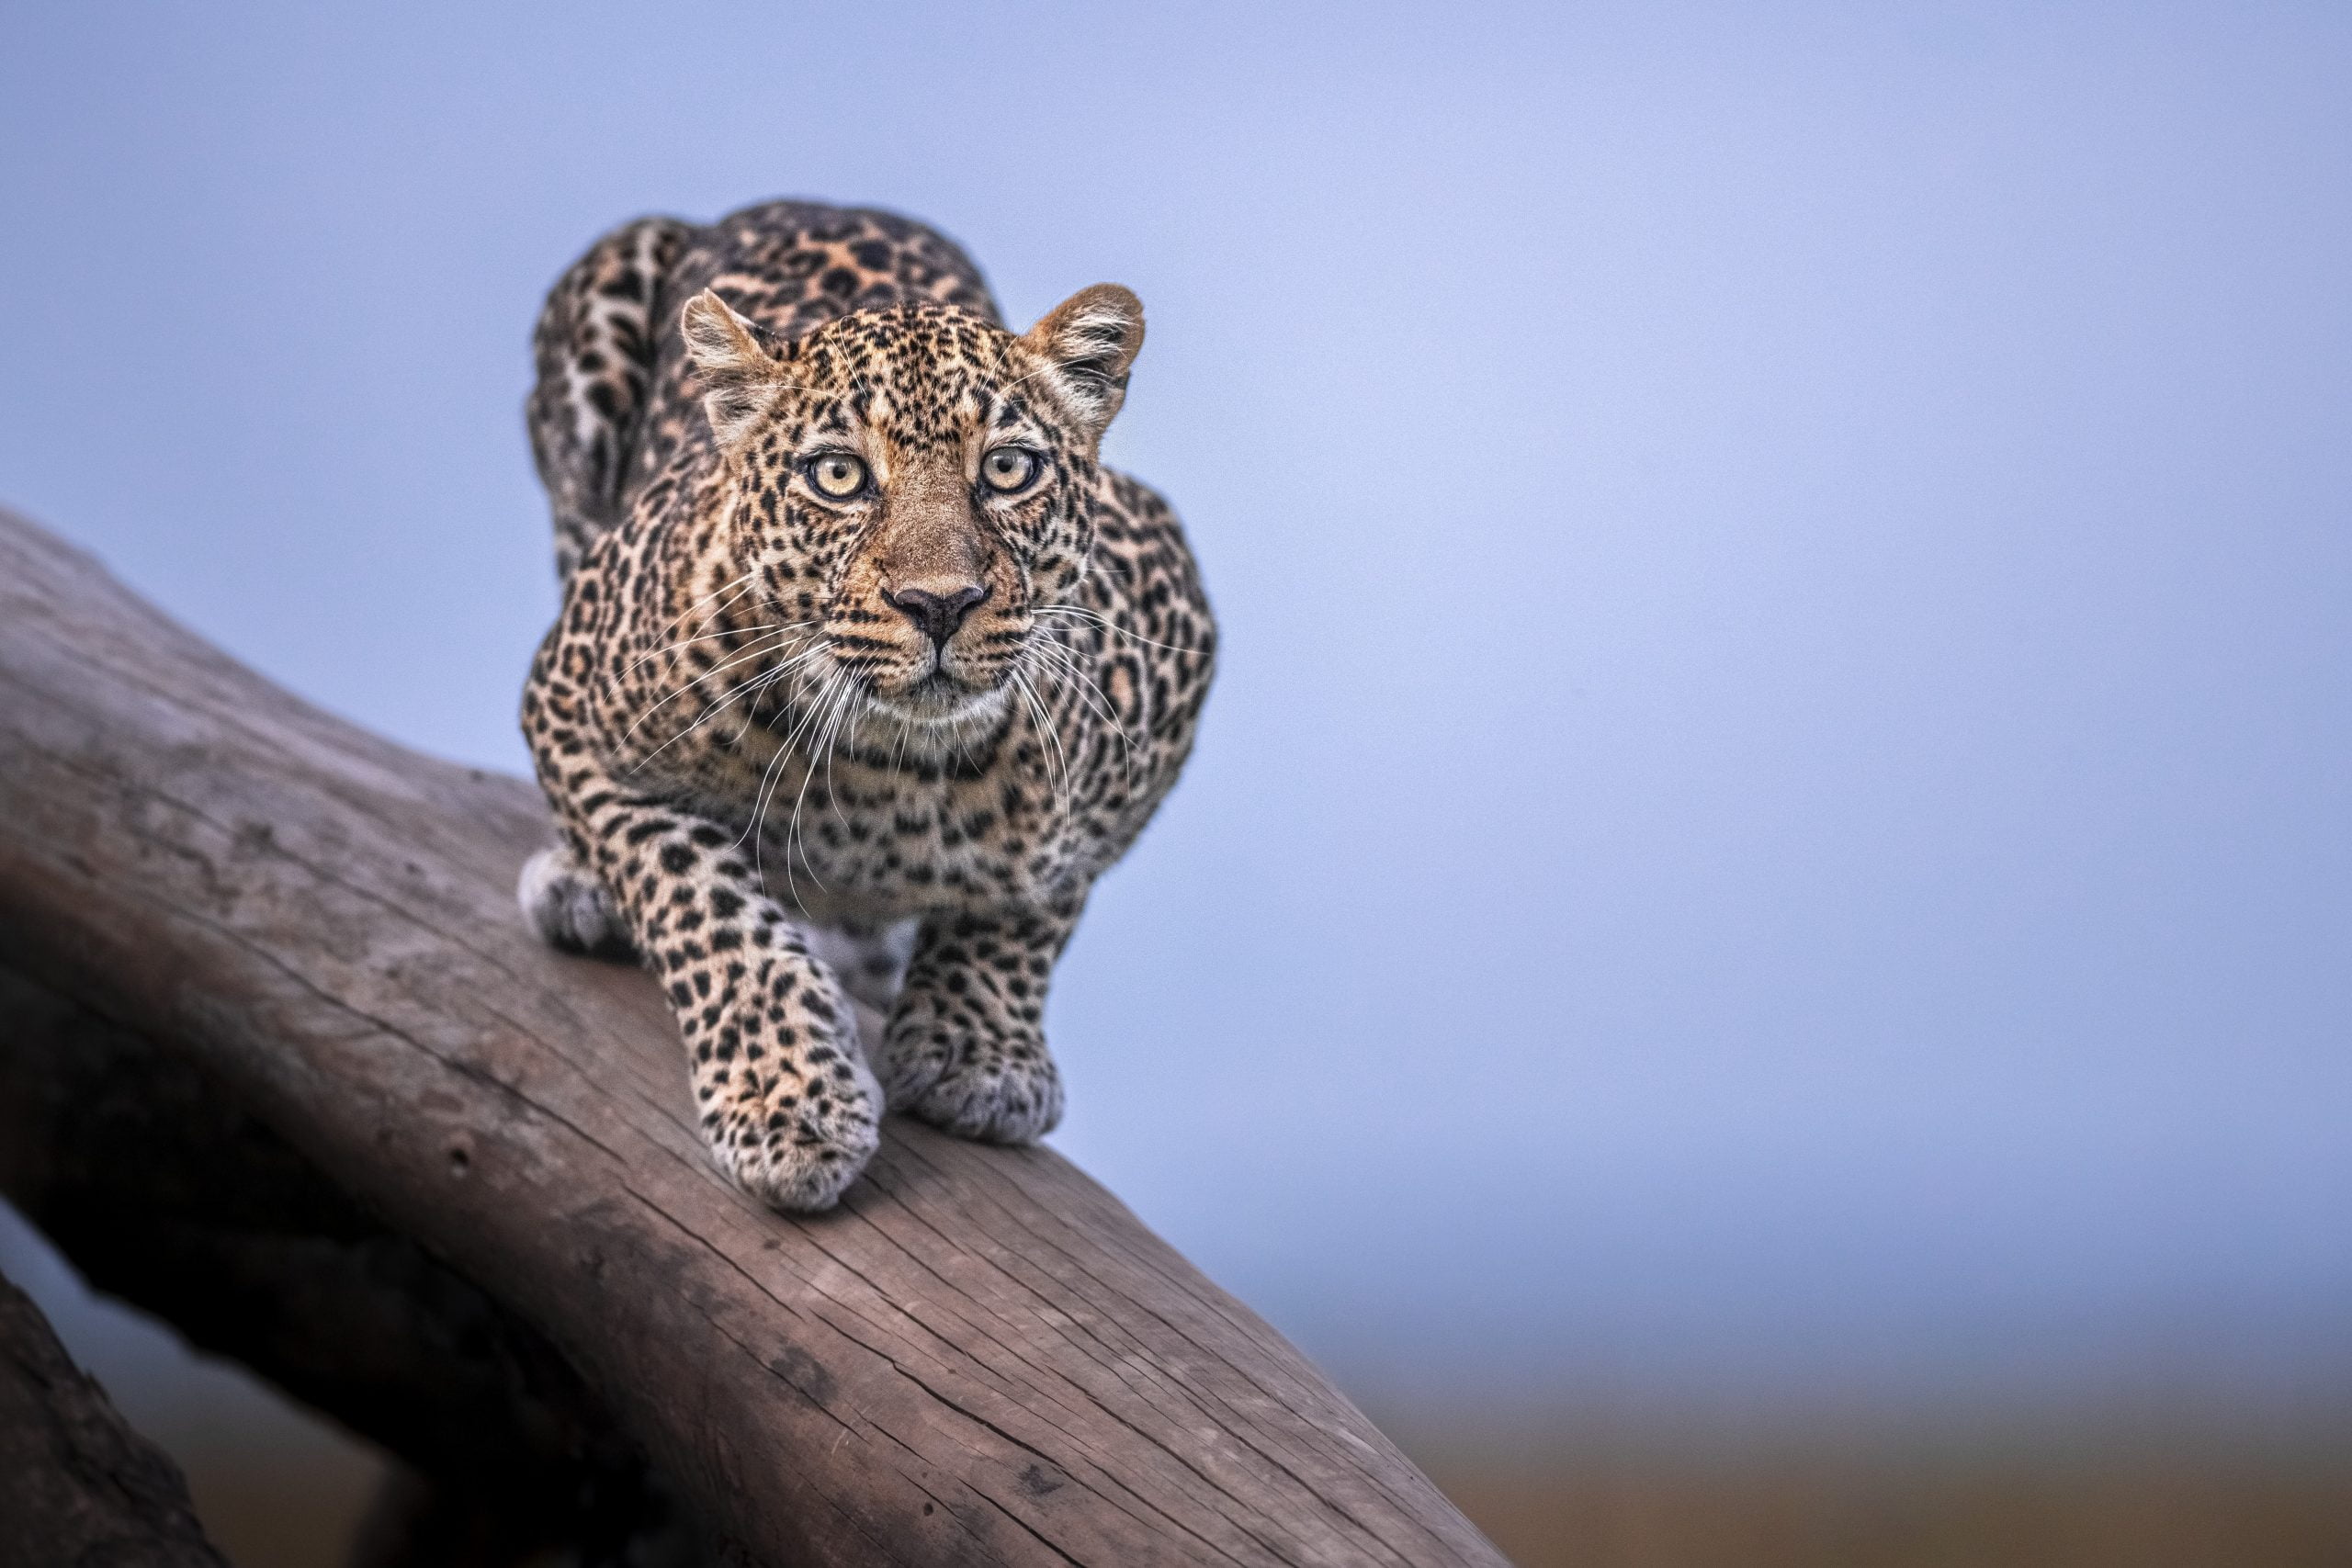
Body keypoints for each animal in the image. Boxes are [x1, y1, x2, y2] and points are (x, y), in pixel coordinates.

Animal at [516, 200, 1214, 1212]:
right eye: (839, 476)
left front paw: (977, 1053)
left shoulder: (1171, 660)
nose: (939, 604)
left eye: (1009, 468)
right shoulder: (568, 699)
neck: (890, 765)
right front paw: (788, 1100)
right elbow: (694, 898)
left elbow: (1044, 892)